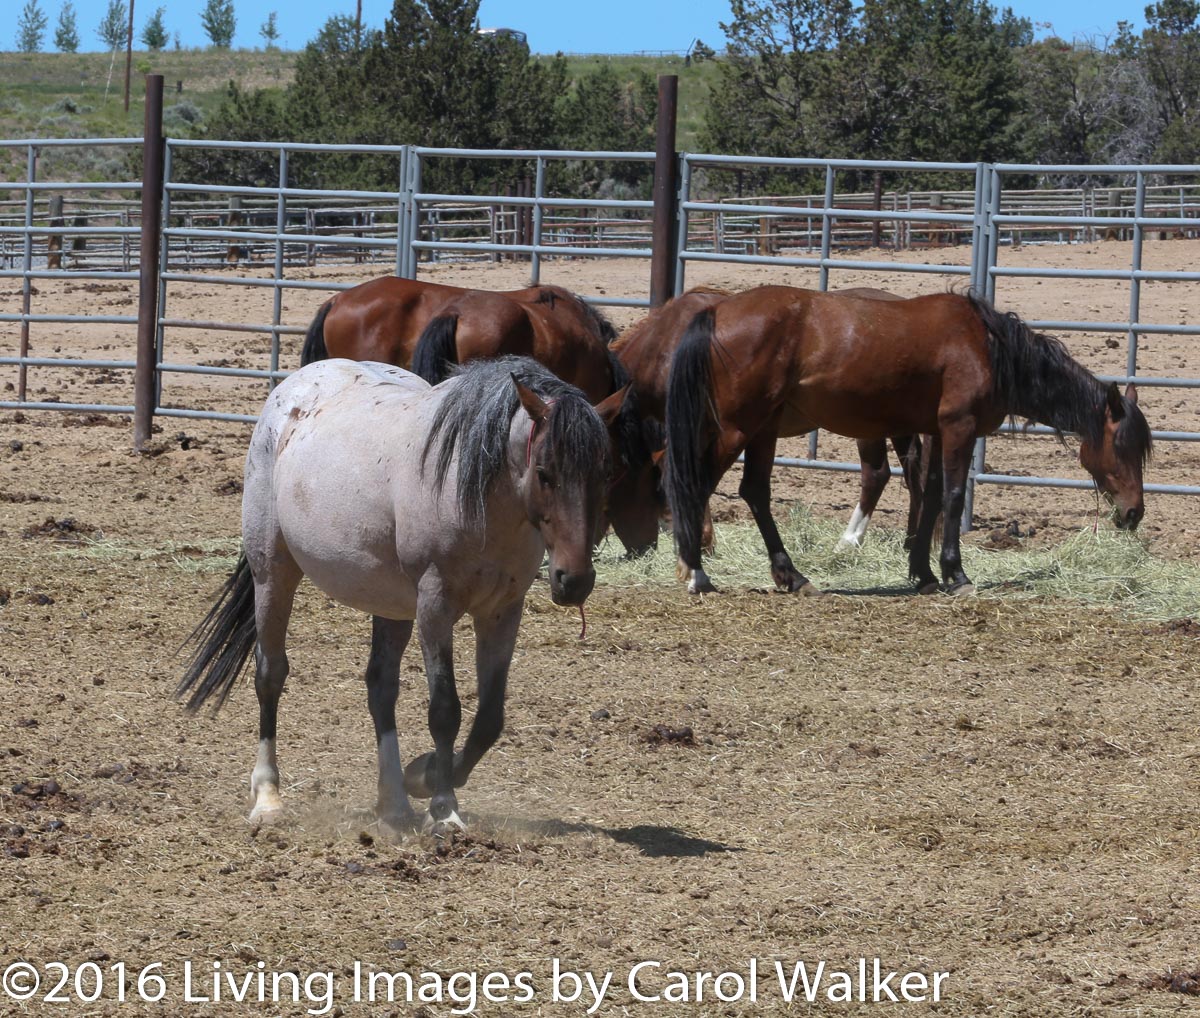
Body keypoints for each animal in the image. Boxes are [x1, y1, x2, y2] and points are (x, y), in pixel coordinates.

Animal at [177, 352, 619, 830]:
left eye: (604, 475)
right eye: (544, 473)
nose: (574, 580)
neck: (477, 495)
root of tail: (293, 387)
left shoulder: (502, 611)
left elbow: (489, 718)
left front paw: (422, 775)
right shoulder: (435, 607)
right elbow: (445, 710)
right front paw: (443, 807)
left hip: (391, 605)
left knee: (381, 687)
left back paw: (393, 802)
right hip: (273, 573)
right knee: (270, 674)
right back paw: (268, 798)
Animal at [667, 285, 1152, 595]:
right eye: (1121, 448)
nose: (1134, 513)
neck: (987, 346)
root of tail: (717, 313)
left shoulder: (936, 431)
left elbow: (932, 495)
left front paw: (924, 573)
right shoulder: (958, 427)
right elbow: (953, 496)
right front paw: (956, 574)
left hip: (762, 430)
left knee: (754, 492)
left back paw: (793, 577)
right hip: (737, 428)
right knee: (698, 486)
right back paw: (696, 574)